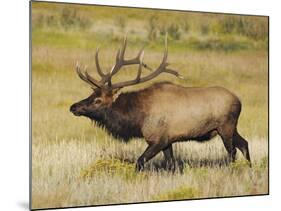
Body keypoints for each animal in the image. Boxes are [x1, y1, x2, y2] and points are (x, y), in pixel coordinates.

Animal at [69, 36, 249, 171]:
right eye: (91, 94)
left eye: (98, 100)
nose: (73, 107)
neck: (138, 118)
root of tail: (239, 101)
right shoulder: (168, 141)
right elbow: (172, 165)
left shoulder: (157, 139)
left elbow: (139, 162)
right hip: (230, 128)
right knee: (244, 144)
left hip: (225, 127)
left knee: (232, 151)